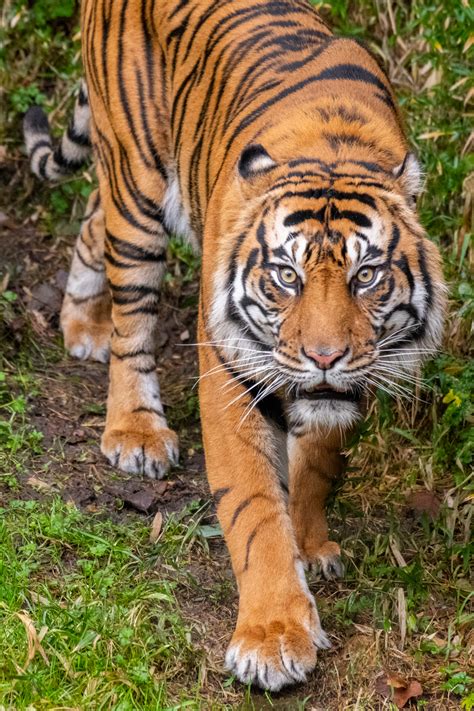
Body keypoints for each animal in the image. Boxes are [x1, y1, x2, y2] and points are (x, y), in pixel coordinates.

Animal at [23, 0, 444, 692]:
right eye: (286, 277)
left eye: (366, 276)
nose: (324, 357)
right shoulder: (231, 370)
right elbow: (253, 509)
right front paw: (273, 638)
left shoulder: (345, 382)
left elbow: (317, 462)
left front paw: (311, 545)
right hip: (137, 181)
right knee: (131, 309)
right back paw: (135, 431)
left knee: (92, 213)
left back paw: (82, 323)